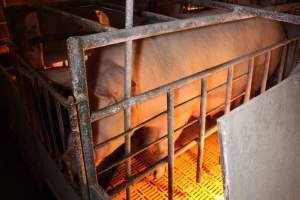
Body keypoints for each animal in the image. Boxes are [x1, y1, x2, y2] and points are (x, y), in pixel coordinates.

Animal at [44, 17, 286, 180]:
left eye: (105, 107)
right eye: (74, 116)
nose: (67, 161)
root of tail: (279, 27)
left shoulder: (180, 112)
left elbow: (164, 146)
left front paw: (157, 175)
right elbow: (152, 141)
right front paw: (145, 146)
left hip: (262, 70)